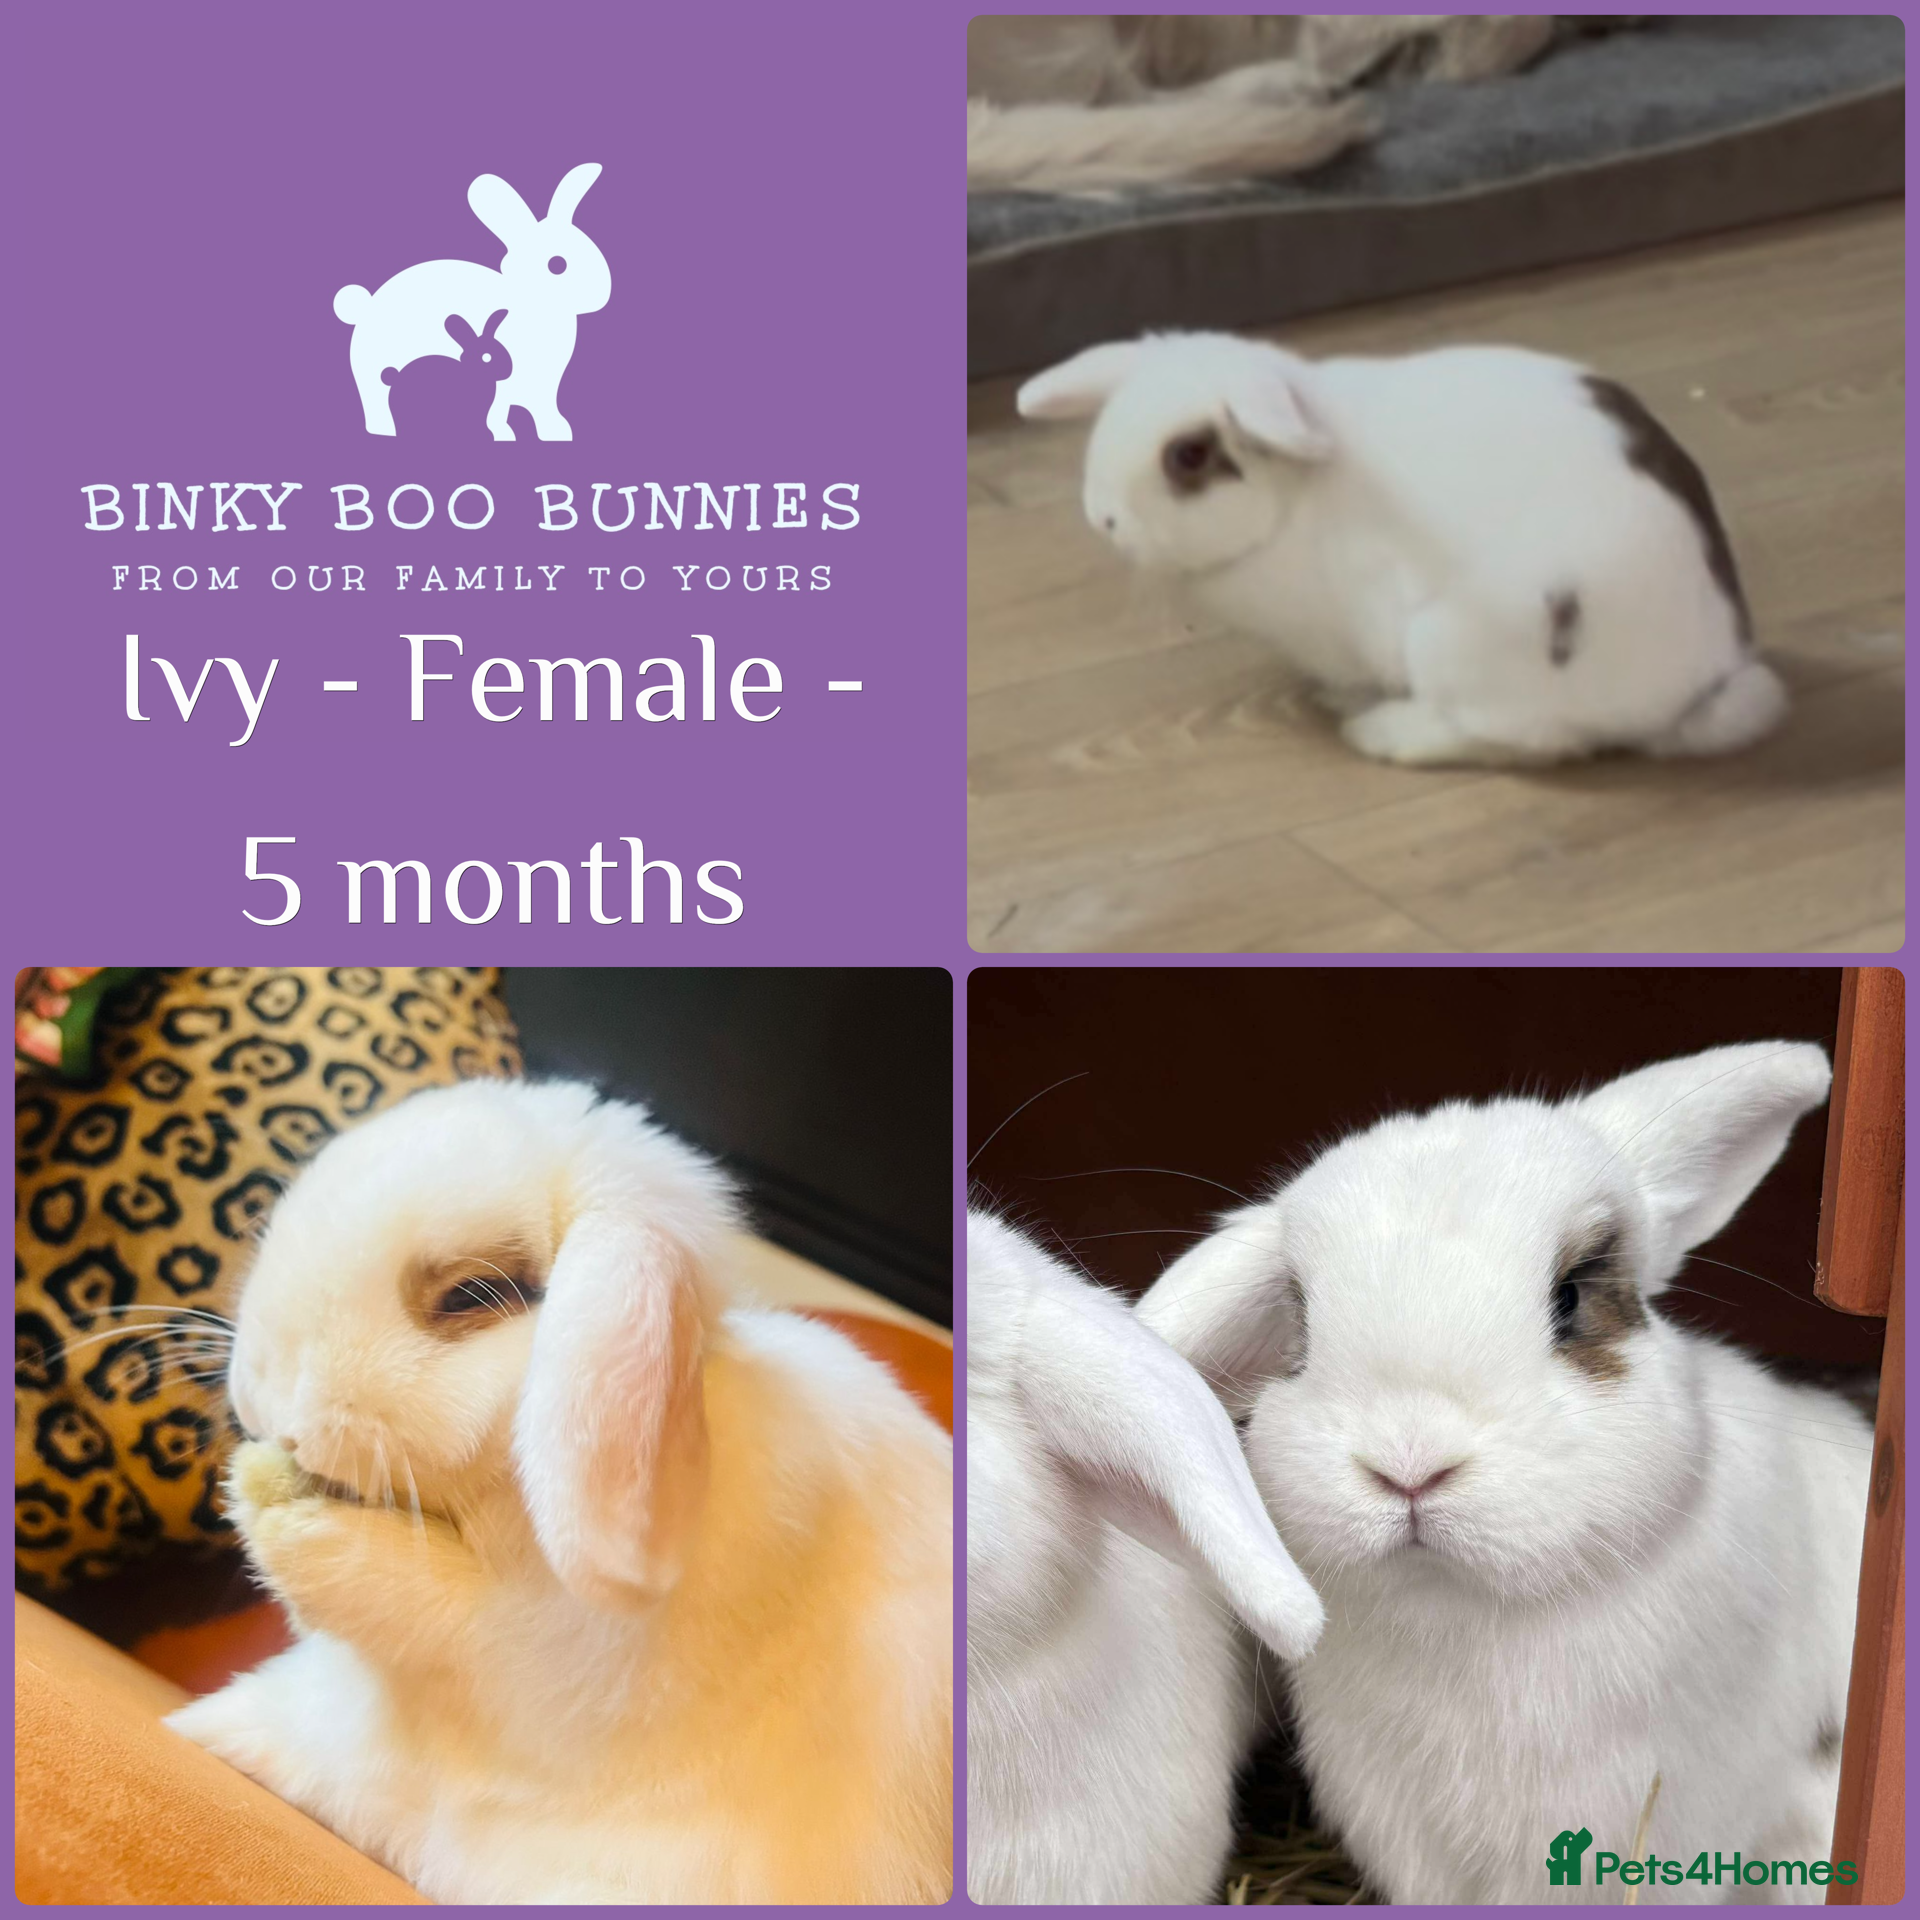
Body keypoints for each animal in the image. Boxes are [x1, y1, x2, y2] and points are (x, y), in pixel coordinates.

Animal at [1017, 330, 1786, 766]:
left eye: (1189, 455)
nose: (1102, 517)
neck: (1296, 500)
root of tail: (1704, 679)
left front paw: (1343, 695)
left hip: (1457, 645)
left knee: (1528, 741)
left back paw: (1379, 733)